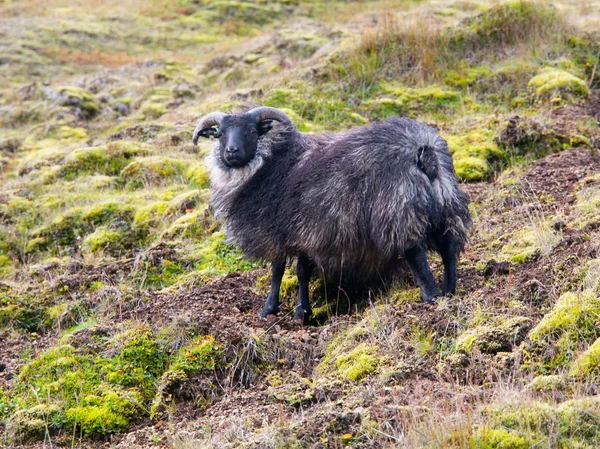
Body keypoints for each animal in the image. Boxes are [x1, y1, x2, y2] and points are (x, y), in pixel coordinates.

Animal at [193, 106, 474, 320]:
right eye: (219, 134)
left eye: (252, 131)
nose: (231, 152)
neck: (269, 164)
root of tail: (424, 151)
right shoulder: (307, 231)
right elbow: (301, 270)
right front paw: (302, 313)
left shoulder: (284, 231)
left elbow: (280, 270)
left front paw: (272, 310)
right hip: (448, 204)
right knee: (449, 249)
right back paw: (449, 292)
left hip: (397, 209)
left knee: (414, 252)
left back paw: (431, 297)